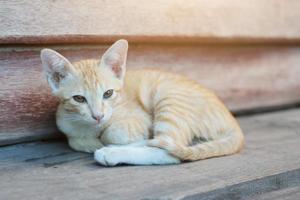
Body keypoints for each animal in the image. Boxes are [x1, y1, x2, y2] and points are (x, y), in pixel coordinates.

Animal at [41, 38, 245, 166]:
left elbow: (113, 133)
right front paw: (91, 141)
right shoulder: (65, 124)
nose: (98, 116)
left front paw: (106, 141)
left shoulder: (140, 120)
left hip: (167, 96)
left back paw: (112, 152)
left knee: (170, 148)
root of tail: (233, 122)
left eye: (108, 93)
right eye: (79, 98)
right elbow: (75, 140)